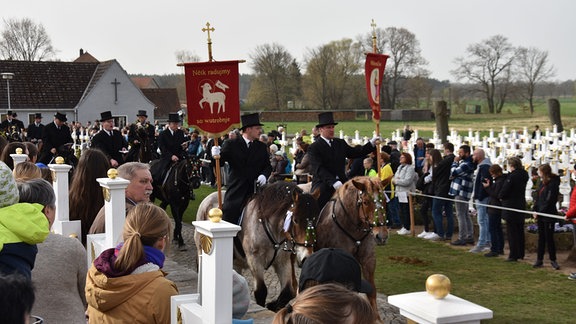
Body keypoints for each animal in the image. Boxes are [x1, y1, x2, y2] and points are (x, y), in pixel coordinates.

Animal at [197, 182, 322, 312]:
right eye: (296, 220)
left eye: (316, 219)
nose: (306, 257)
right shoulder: (255, 260)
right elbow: (261, 291)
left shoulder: (283, 262)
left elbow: (288, 291)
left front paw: (275, 306)